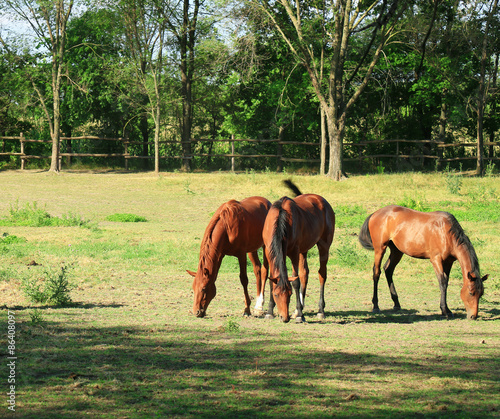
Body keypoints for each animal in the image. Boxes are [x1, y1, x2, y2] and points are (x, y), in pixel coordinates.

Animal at [262, 181, 336, 324]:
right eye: (276, 294)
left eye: (290, 294)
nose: (284, 318)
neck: (281, 220)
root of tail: (323, 201)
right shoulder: (269, 252)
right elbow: (272, 279)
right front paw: (269, 312)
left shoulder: (294, 253)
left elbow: (295, 282)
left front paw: (300, 315)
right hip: (304, 250)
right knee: (304, 274)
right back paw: (297, 310)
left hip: (324, 246)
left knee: (322, 274)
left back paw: (320, 311)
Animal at [358, 207, 490, 322]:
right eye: (471, 293)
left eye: (481, 294)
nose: (473, 316)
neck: (446, 233)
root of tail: (375, 213)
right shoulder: (436, 259)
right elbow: (442, 282)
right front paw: (445, 311)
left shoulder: (448, 262)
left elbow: (446, 283)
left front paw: (446, 309)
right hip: (380, 248)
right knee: (377, 272)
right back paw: (375, 306)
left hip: (397, 250)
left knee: (388, 269)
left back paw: (396, 303)